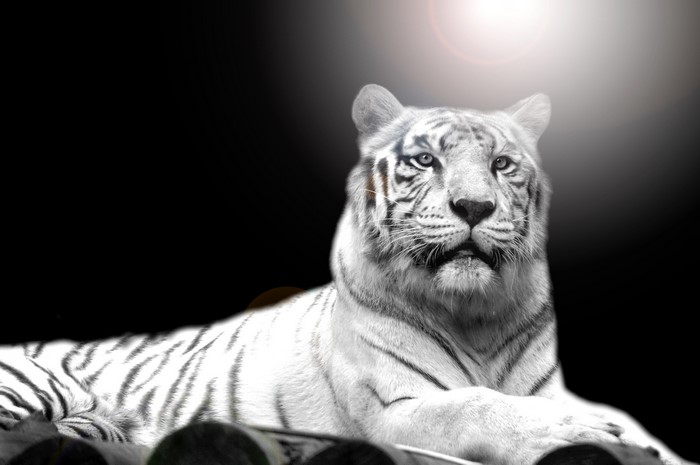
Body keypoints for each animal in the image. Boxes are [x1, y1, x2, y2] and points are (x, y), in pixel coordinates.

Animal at [0, 84, 693, 465]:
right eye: (425, 160)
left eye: (502, 164)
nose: (474, 207)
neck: (478, 315)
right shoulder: (398, 409)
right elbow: (477, 406)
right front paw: (571, 431)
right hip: (32, 383)